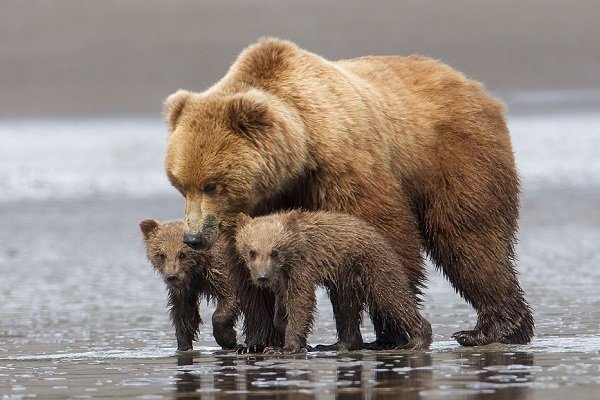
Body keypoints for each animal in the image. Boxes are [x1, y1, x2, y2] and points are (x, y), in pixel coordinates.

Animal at [163, 37, 536, 350]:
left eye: (212, 184)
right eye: (180, 184)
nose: (193, 238)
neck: (298, 155)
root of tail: (474, 86)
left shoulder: (342, 168)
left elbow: (384, 239)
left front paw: (391, 330)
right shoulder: (256, 205)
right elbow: (247, 264)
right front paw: (256, 340)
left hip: (454, 157)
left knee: (468, 239)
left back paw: (490, 329)